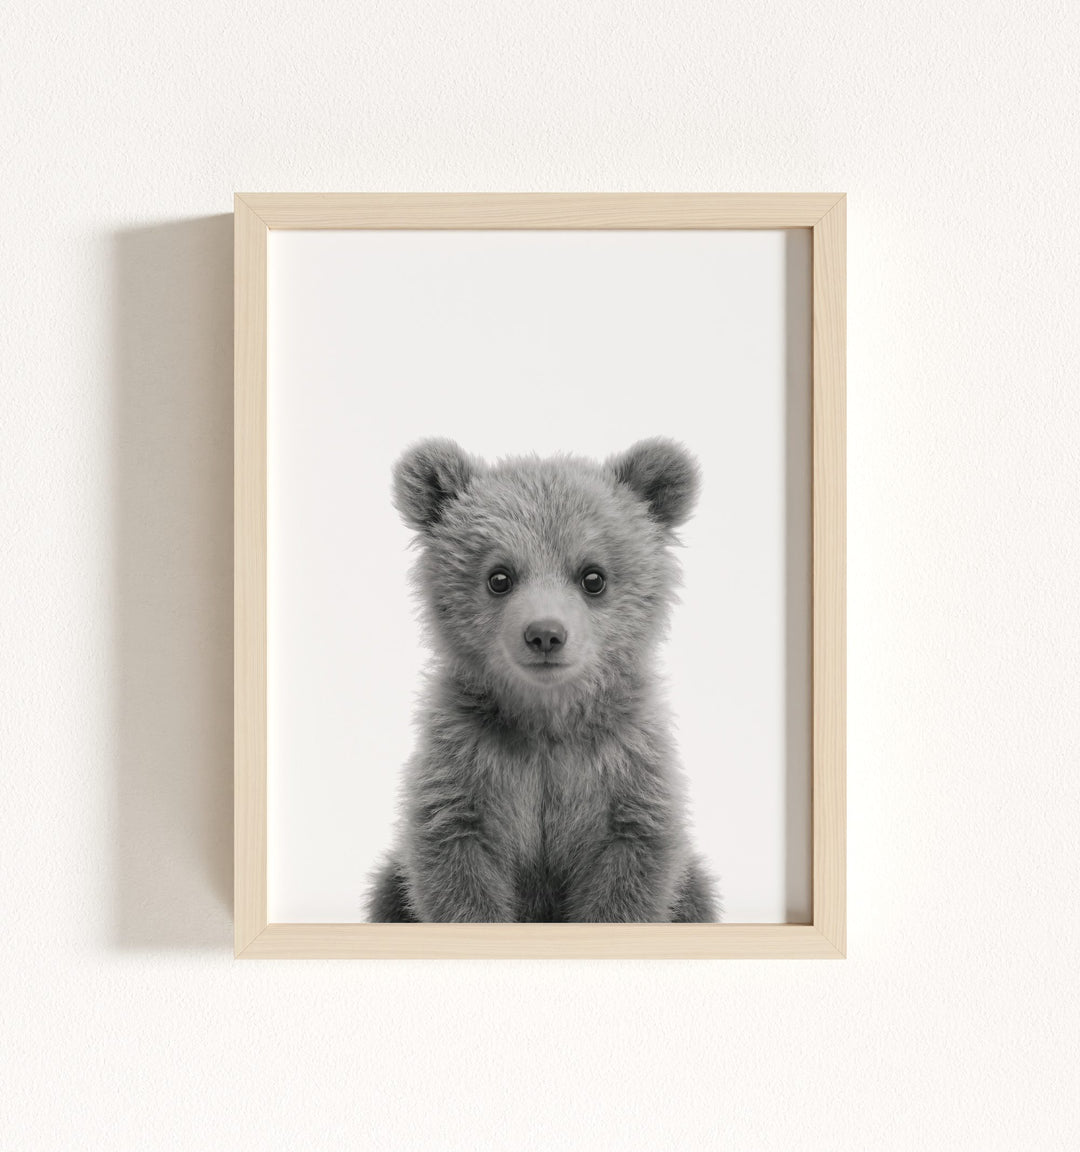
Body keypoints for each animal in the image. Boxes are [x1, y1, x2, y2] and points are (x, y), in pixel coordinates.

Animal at [366, 437, 719, 923]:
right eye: (499, 577)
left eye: (593, 576)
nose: (545, 634)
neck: (546, 722)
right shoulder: (467, 764)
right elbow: (456, 868)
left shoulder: (623, 769)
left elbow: (630, 873)